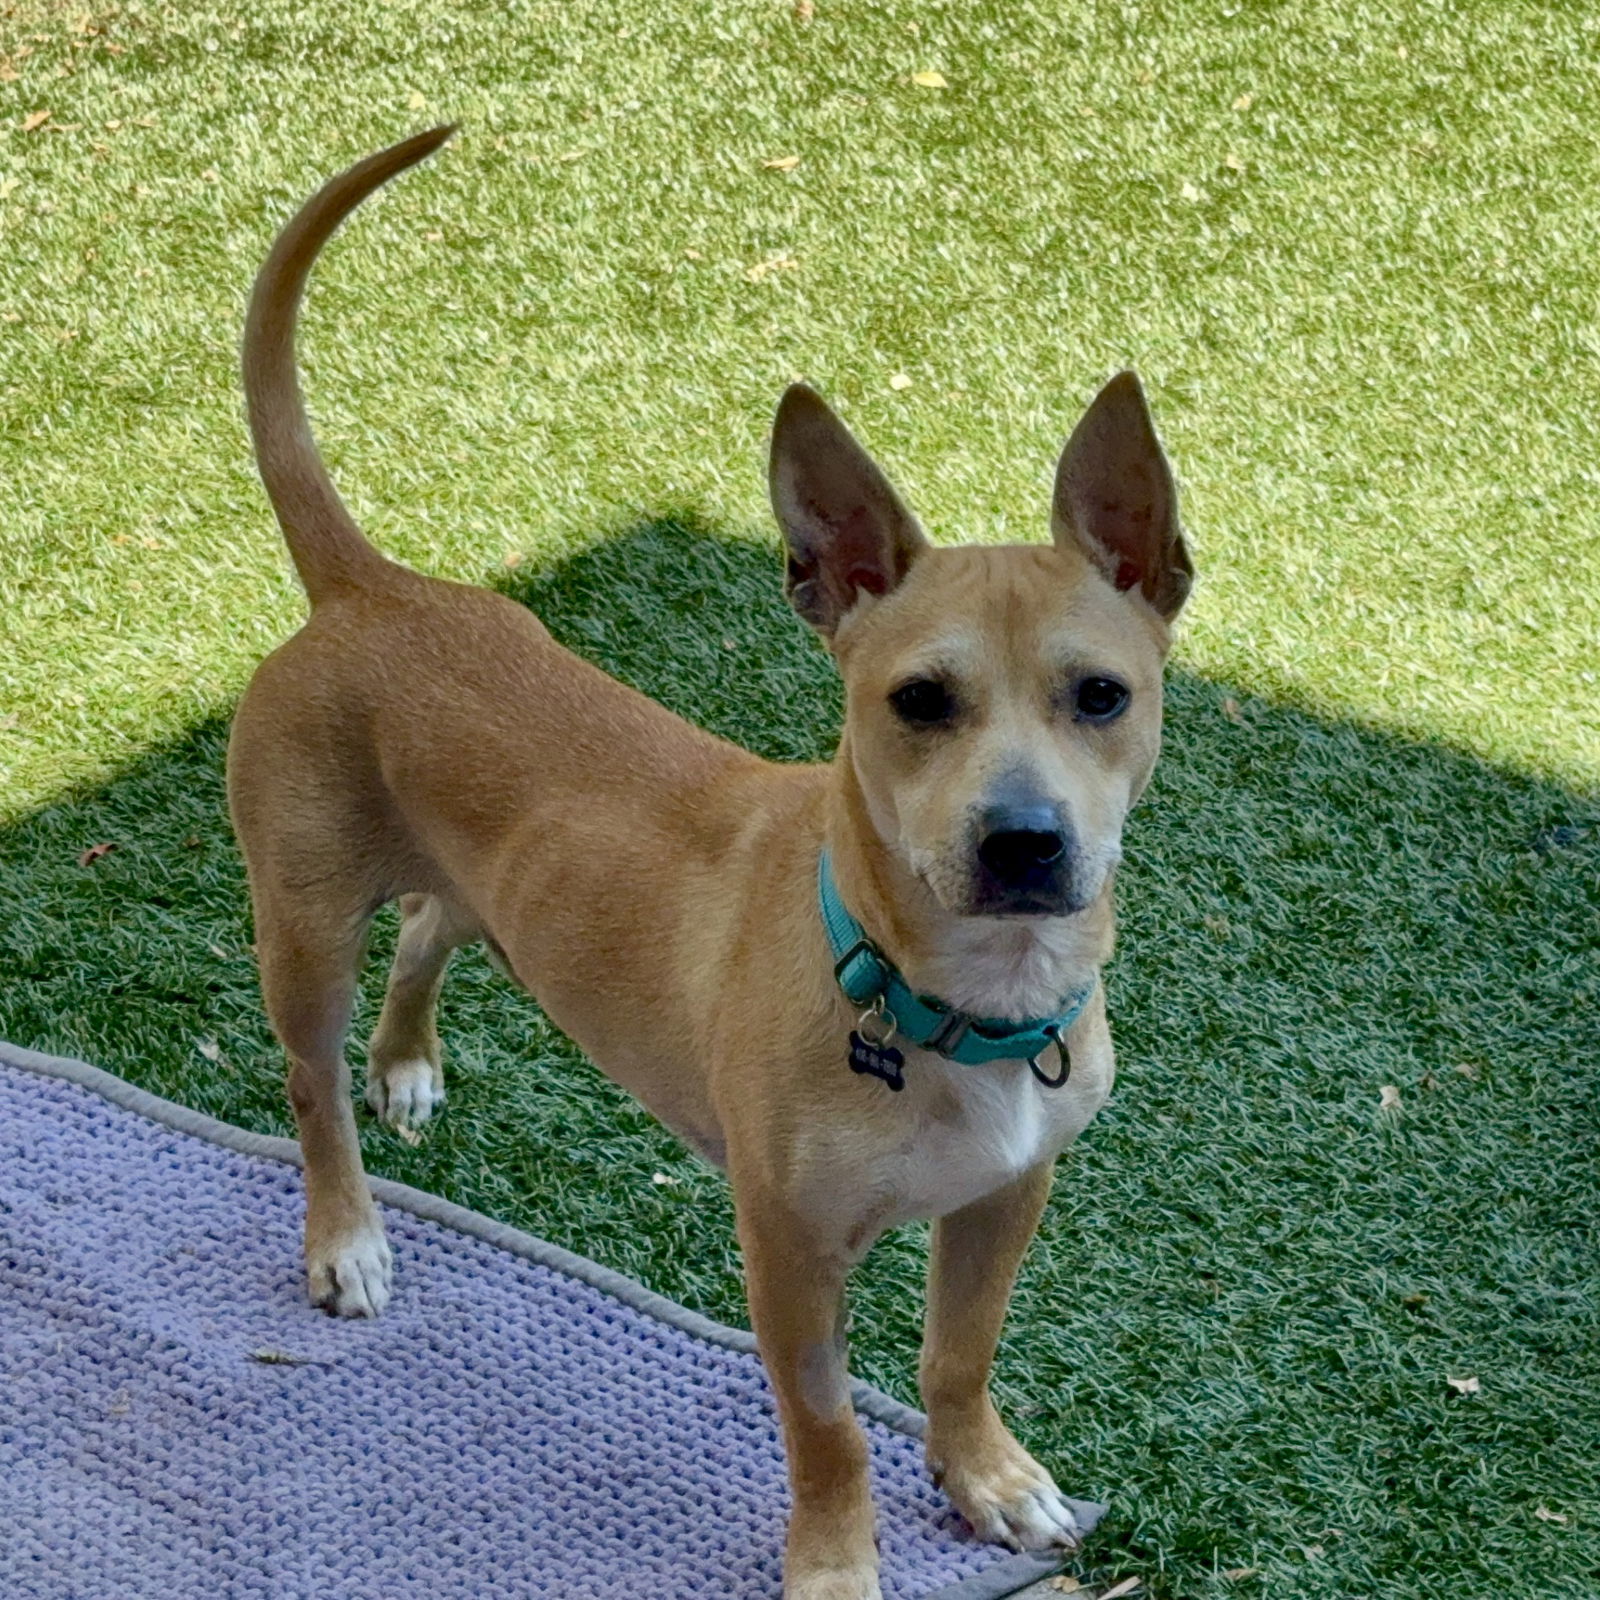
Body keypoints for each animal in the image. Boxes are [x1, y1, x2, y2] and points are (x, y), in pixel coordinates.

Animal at [233, 128, 1190, 1600]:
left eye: (1101, 696)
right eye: (919, 701)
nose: (1024, 842)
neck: (948, 999)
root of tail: (373, 587)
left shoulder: (1009, 1193)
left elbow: (959, 1356)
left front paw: (984, 1477)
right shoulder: (786, 1250)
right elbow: (830, 1426)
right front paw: (838, 1567)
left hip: (483, 884)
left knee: (433, 926)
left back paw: (407, 1062)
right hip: (302, 919)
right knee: (307, 1081)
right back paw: (345, 1230)